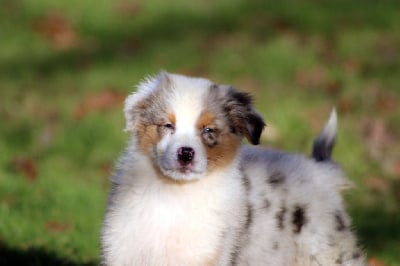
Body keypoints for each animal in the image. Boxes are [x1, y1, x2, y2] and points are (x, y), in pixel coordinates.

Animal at [101, 71, 366, 264]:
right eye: (167, 125)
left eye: (208, 130)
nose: (186, 153)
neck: (174, 194)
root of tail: (320, 171)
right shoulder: (123, 249)